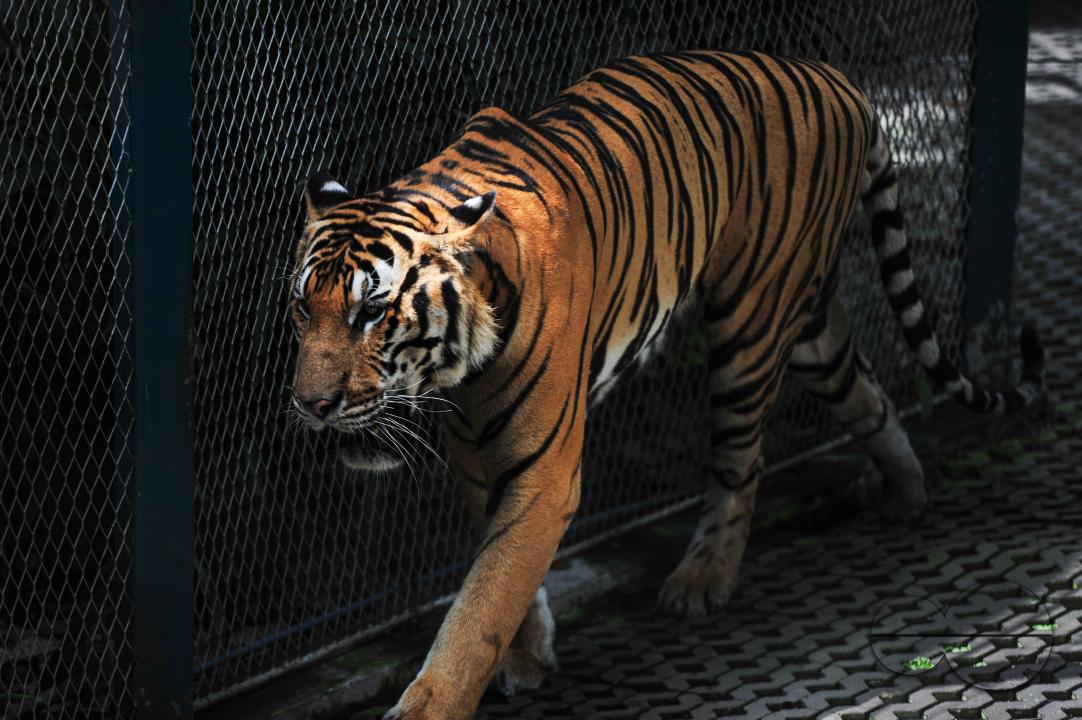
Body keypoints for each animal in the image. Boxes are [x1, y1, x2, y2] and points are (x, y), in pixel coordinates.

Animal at [288, 50, 1044, 720]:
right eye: (302, 307)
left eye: (371, 312)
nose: (310, 405)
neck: (460, 368)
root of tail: (836, 79)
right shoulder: (478, 458)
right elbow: (503, 581)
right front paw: (529, 657)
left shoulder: (543, 473)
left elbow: (480, 610)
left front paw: (439, 699)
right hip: (807, 331)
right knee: (870, 396)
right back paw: (908, 492)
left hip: (749, 325)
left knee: (743, 463)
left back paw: (702, 581)